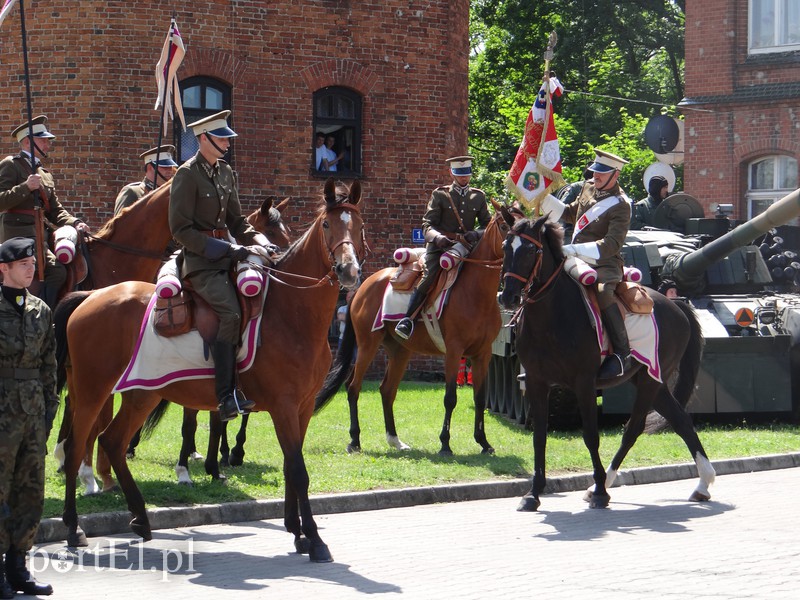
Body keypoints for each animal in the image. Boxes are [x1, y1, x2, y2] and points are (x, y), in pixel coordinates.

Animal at [316, 198, 510, 454]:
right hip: (367, 345)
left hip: (400, 350)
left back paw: (395, 439)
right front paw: (445, 443)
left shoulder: (483, 354)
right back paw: (354, 440)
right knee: (353, 387)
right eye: (505, 225)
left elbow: (480, 398)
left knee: (387, 390)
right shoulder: (453, 352)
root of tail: (363, 286)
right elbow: (450, 398)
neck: (477, 293)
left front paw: (484, 442)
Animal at [496, 212, 716, 510]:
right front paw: (533, 493)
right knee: (680, 419)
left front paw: (600, 489)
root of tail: (676, 305)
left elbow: (591, 435)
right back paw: (703, 483)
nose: (508, 296)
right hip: (650, 380)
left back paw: (603, 485)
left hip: (650, 381)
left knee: (634, 428)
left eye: (531, 250)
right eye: (506, 247)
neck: (551, 317)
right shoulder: (535, 382)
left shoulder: (584, 383)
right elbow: (539, 437)